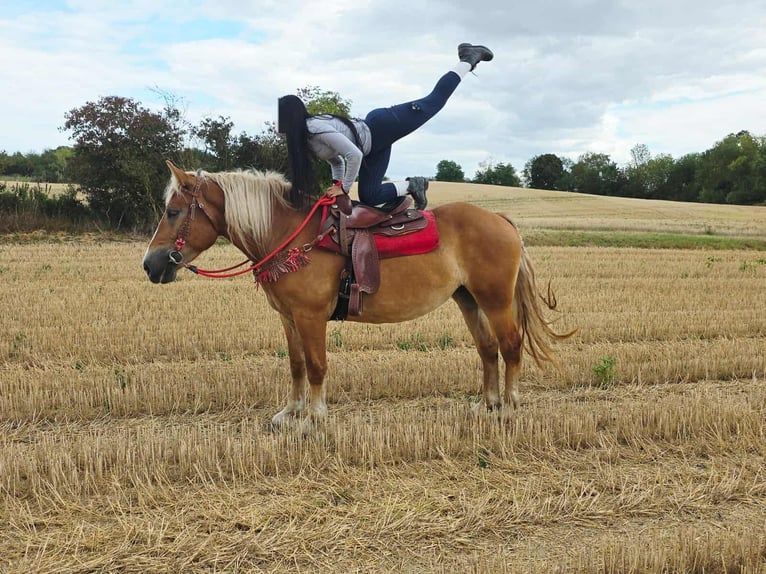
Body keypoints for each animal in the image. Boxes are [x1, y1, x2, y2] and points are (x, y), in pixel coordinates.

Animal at [143, 161, 570, 431]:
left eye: (174, 211)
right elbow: (296, 365)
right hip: (467, 298)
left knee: (510, 345)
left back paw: (509, 408)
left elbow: (316, 366)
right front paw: (290, 413)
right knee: (487, 349)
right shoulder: (288, 317)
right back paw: (487, 406)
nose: (150, 264)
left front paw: (314, 420)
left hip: (495, 299)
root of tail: (500, 220)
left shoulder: (311, 317)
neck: (291, 236)